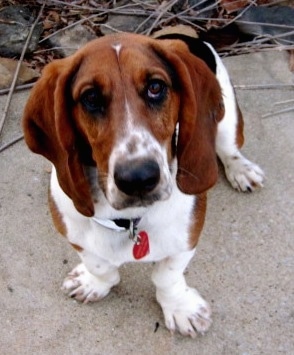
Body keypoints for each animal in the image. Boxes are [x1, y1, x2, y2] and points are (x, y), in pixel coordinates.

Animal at [21, 33, 262, 340]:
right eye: (91, 98)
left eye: (155, 88)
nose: (138, 178)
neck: (129, 220)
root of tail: (183, 36)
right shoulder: (74, 234)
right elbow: (100, 265)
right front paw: (94, 282)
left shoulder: (186, 239)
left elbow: (167, 277)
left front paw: (181, 308)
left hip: (228, 120)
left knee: (228, 148)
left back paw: (241, 170)